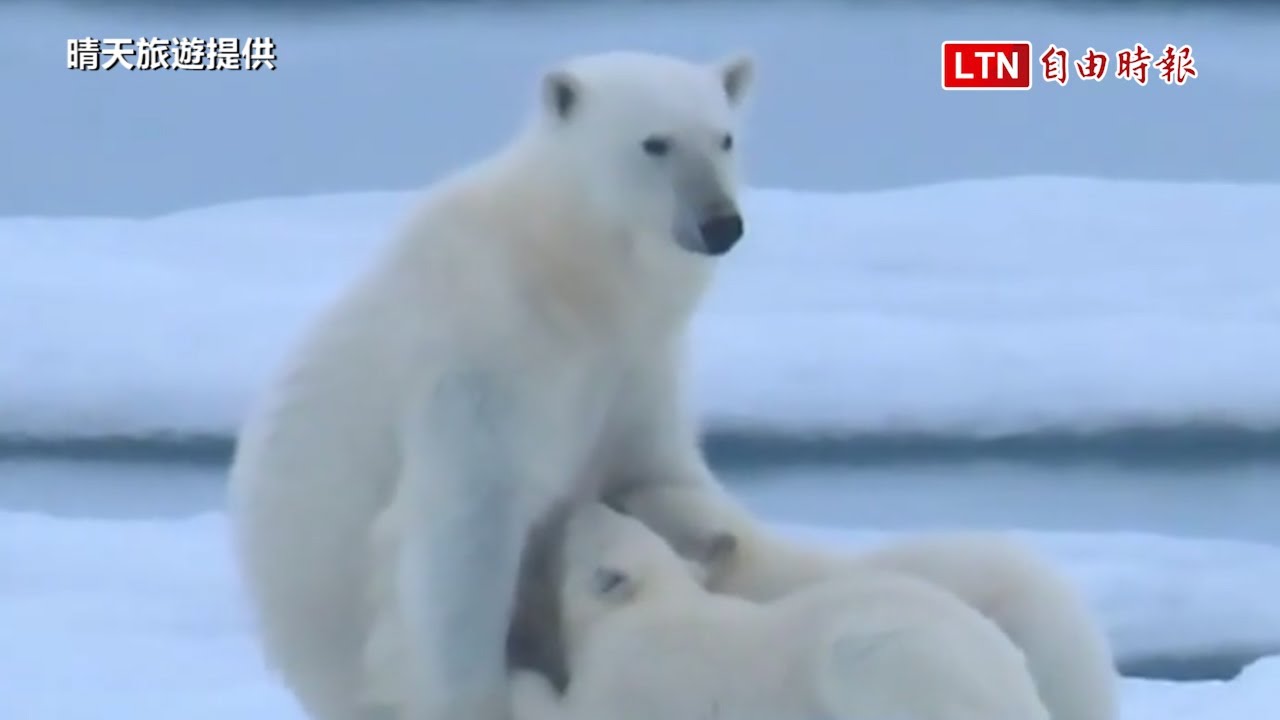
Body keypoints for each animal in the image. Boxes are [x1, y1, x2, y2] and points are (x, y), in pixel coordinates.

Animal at [224, 50, 757, 717]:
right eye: (654, 143)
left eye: (725, 138)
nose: (720, 224)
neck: (569, 277)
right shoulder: (484, 359)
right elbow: (465, 534)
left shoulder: (634, 364)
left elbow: (655, 470)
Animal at [506, 499, 1049, 717]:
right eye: (612, 513)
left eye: (587, 525)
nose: (574, 506)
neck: (652, 608)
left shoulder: (631, 681)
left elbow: (565, 712)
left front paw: (518, 674)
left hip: (897, 667)